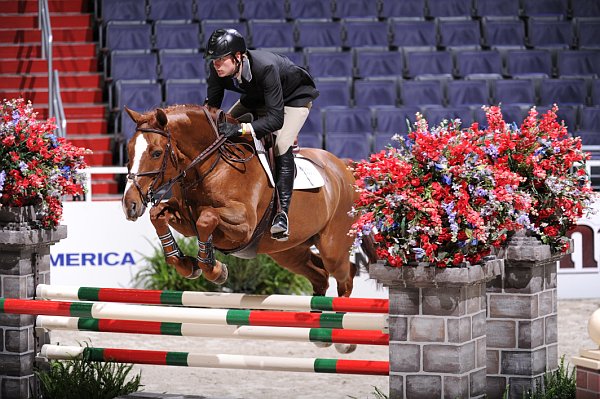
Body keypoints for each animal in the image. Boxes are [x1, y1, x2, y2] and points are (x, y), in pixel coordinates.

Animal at [121, 104, 368, 302]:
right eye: (129, 151)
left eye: (156, 153)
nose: (129, 205)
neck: (212, 166)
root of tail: (344, 168)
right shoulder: (185, 220)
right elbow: (158, 214)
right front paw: (185, 264)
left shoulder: (243, 224)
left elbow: (207, 218)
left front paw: (215, 270)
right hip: (289, 251)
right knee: (320, 276)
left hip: (333, 247)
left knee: (346, 274)